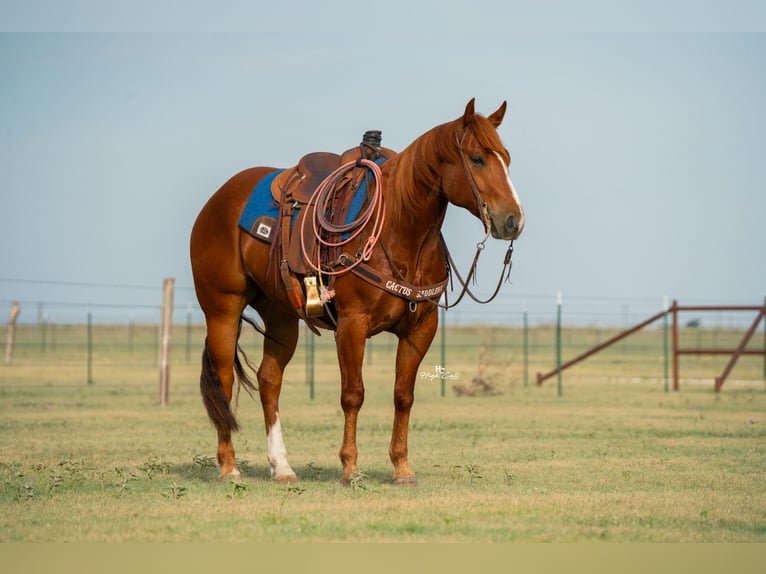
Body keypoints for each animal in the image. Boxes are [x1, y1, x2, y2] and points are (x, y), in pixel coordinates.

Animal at [189, 98, 524, 485]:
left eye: (507, 157)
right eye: (477, 158)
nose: (513, 220)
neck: (399, 229)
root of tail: (217, 200)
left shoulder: (421, 328)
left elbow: (403, 395)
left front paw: (402, 468)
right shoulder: (352, 325)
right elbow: (353, 395)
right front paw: (350, 467)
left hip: (281, 315)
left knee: (269, 380)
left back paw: (282, 467)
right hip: (222, 310)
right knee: (224, 380)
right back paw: (229, 466)